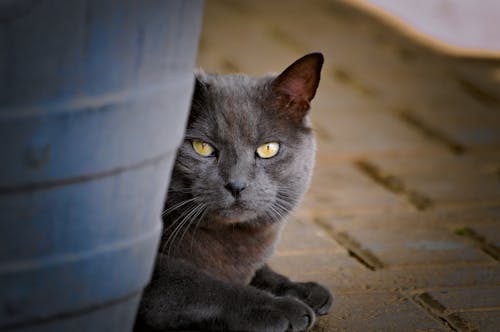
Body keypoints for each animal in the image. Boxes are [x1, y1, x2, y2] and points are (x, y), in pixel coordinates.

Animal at [135, 52, 334, 332]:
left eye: (268, 149)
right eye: (202, 147)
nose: (236, 184)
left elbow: (262, 272)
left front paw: (300, 288)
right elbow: (197, 283)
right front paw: (280, 307)